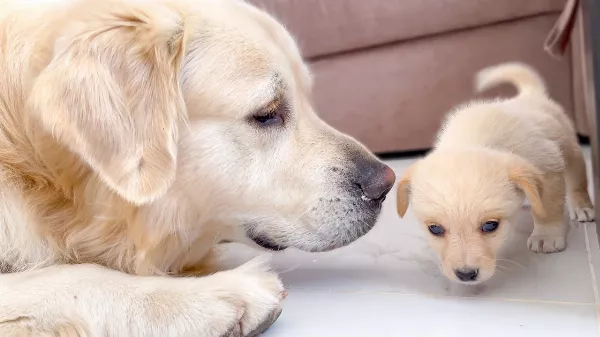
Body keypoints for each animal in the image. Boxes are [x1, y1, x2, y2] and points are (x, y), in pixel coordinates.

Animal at [396, 63, 592, 284]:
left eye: (490, 226)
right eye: (435, 229)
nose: (466, 274)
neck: (473, 137)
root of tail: (529, 95)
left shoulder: (548, 167)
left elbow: (546, 210)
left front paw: (546, 236)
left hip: (568, 147)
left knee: (577, 178)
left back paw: (582, 206)